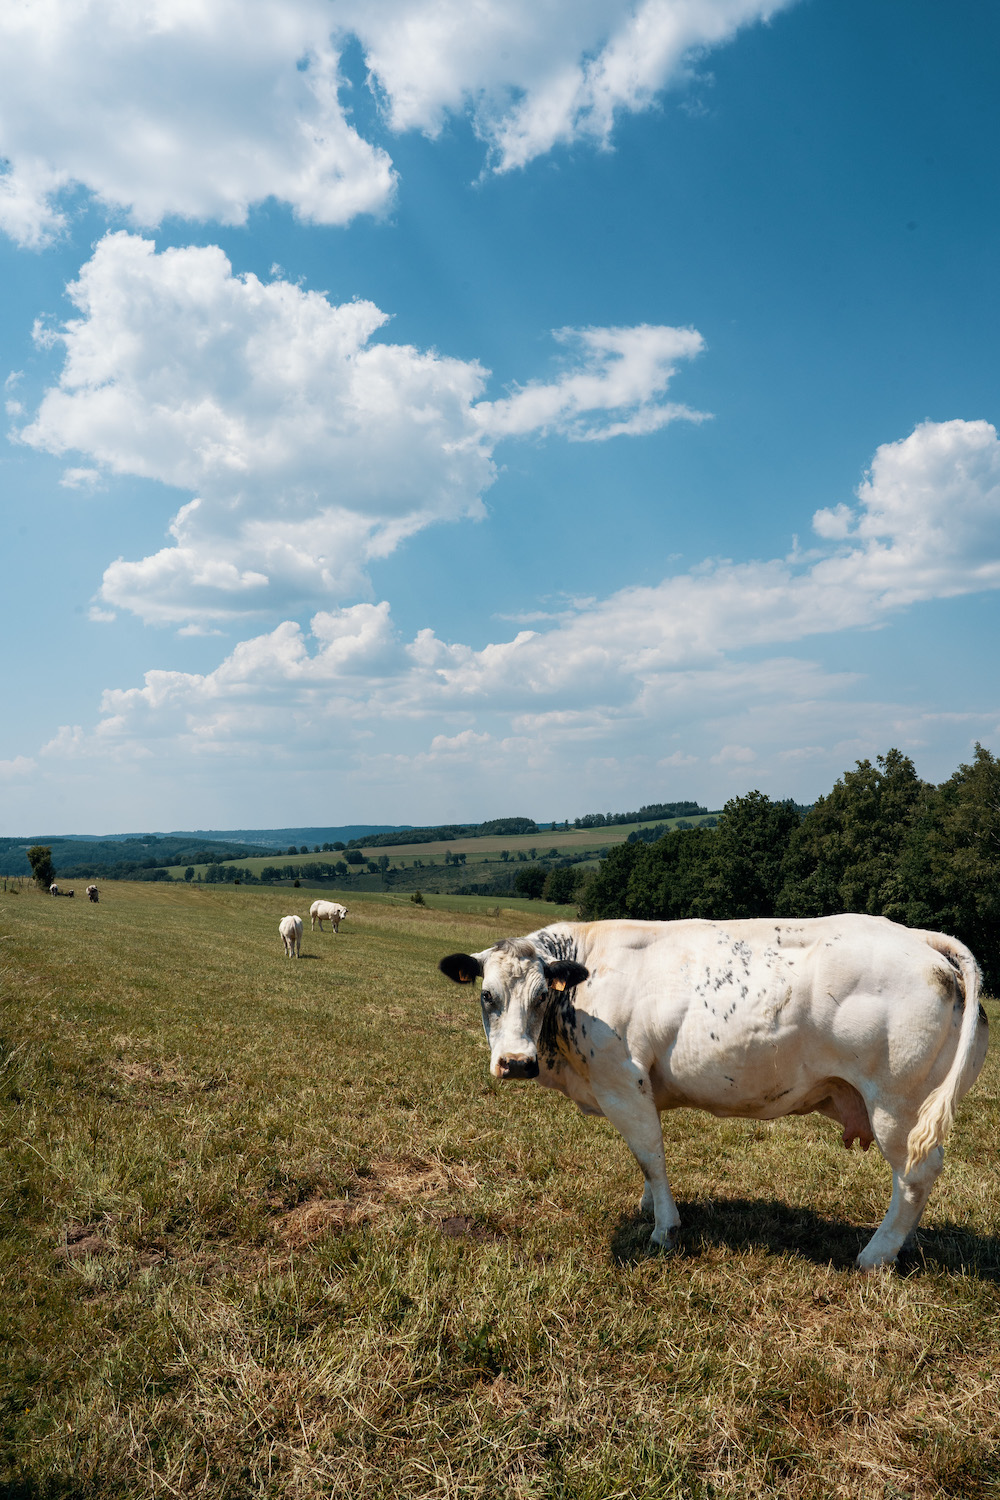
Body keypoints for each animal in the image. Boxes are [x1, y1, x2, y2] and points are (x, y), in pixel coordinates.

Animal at [440, 906, 989, 1272]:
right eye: (487, 995)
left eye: (539, 996)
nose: (515, 1063)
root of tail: (920, 938)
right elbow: (646, 1161)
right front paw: (648, 1207)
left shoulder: (621, 1083)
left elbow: (650, 1156)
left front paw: (664, 1229)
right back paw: (903, 1245)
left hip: (897, 1103)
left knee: (914, 1176)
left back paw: (876, 1253)